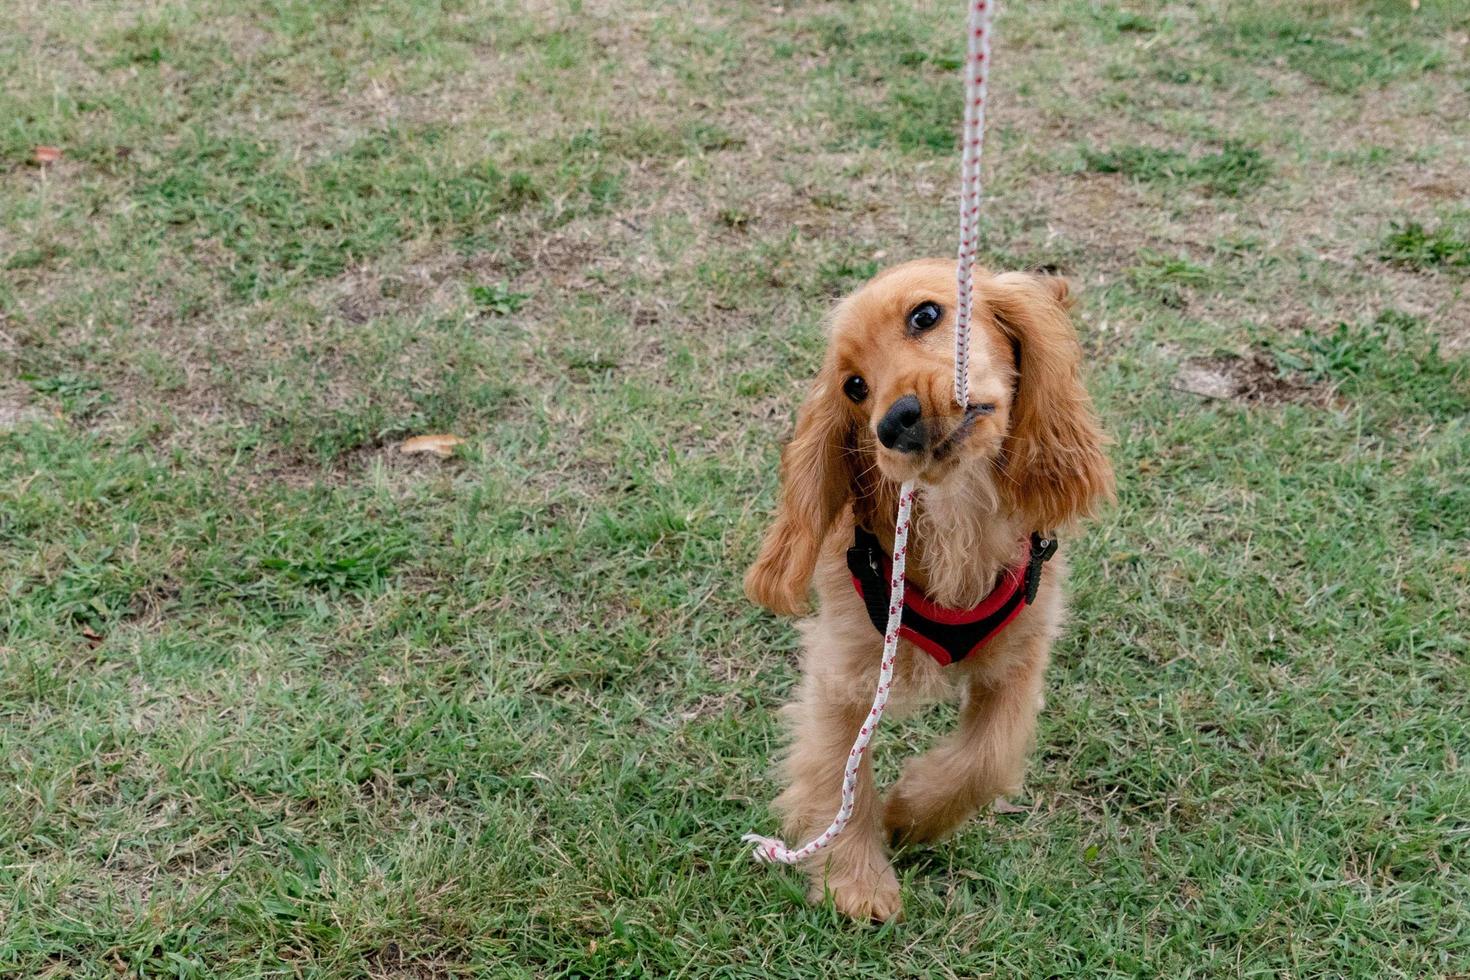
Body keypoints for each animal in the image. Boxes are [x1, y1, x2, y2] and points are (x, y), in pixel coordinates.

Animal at [746, 258, 1111, 922]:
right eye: (854, 387)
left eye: (925, 315)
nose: (894, 423)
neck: (957, 513)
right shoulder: (842, 674)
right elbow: (839, 774)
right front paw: (856, 881)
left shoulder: (1021, 657)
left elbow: (987, 757)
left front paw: (911, 814)